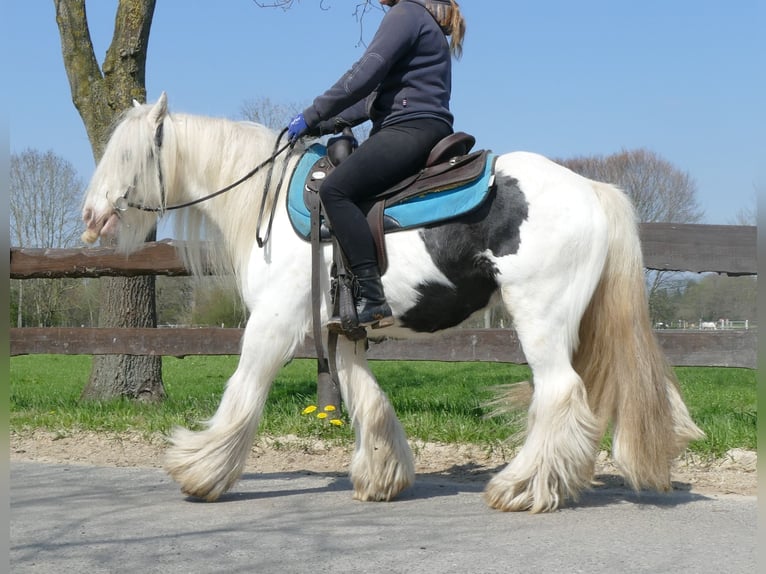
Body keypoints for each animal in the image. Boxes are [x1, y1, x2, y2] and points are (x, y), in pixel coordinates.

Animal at [81, 94, 704, 516]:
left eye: (128, 154)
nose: (90, 216)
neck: (270, 205)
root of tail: (592, 190)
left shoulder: (273, 325)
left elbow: (242, 394)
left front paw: (199, 470)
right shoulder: (345, 330)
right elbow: (369, 400)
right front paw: (383, 478)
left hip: (540, 320)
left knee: (560, 395)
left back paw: (521, 488)